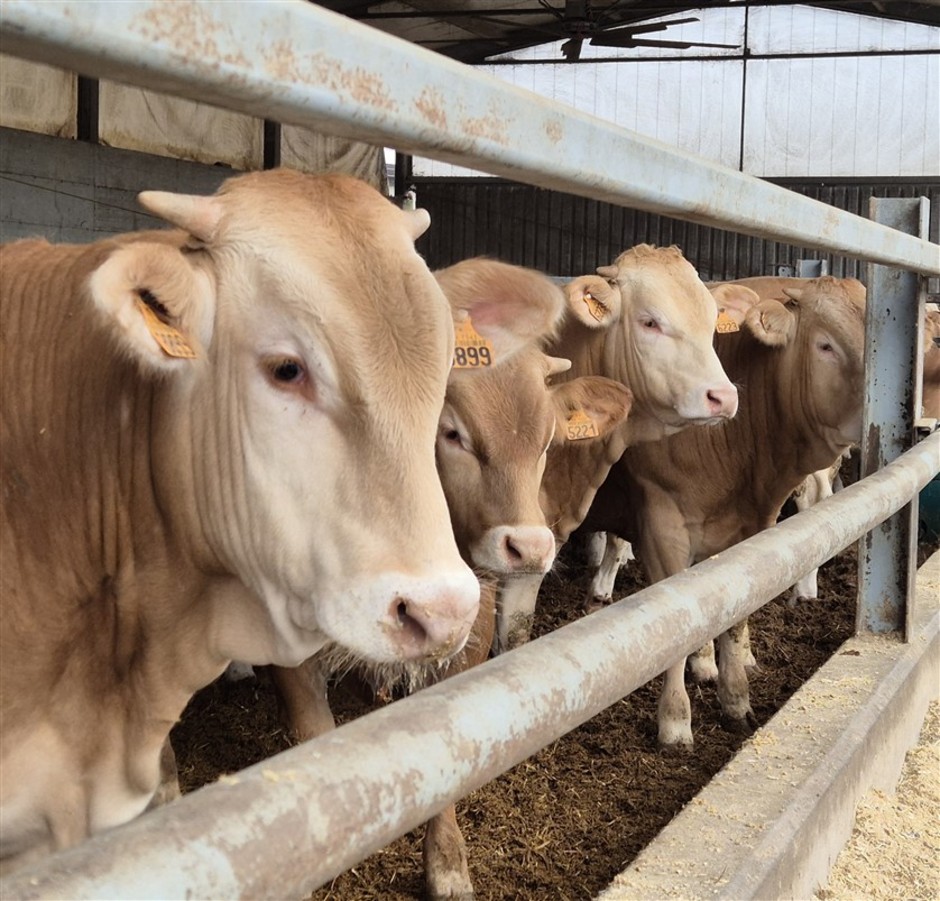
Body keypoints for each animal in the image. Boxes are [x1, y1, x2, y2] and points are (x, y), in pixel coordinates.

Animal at [580, 274, 868, 744]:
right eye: (825, 345)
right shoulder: (663, 527)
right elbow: (675, 624)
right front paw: (676, 721)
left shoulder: (748, 532)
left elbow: (733, 617)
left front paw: (734, 696)